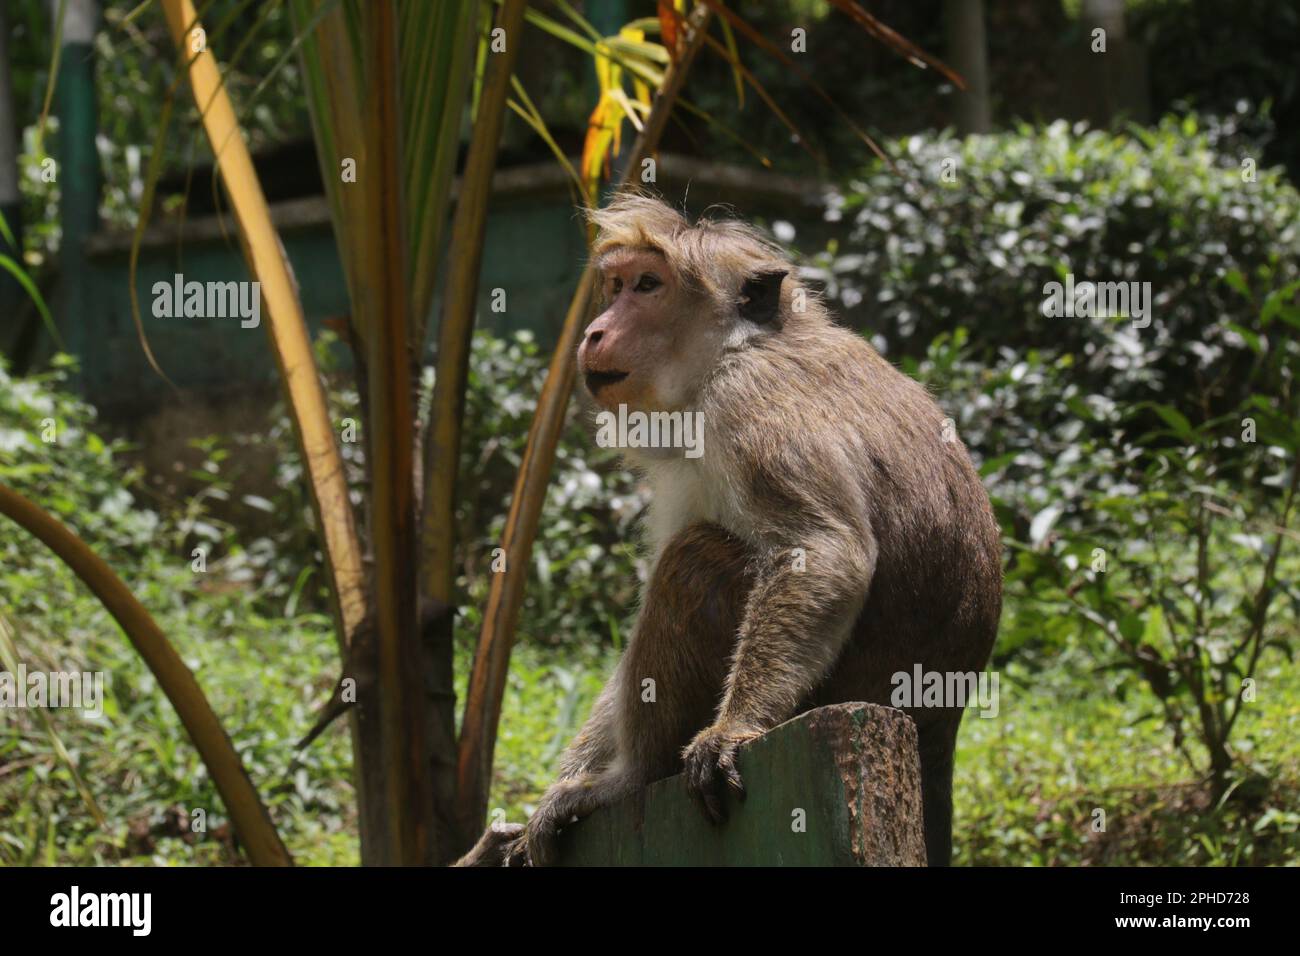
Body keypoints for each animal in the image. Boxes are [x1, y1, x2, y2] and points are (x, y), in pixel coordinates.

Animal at [462, 195, 998, 868]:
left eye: (648, 285)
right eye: (616, 286)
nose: (594, 331)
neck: (731, 350)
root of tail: (938, 724)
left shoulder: (748, 400)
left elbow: (822, 551)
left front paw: (731, 729)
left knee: (698, 559)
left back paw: (629, 778)